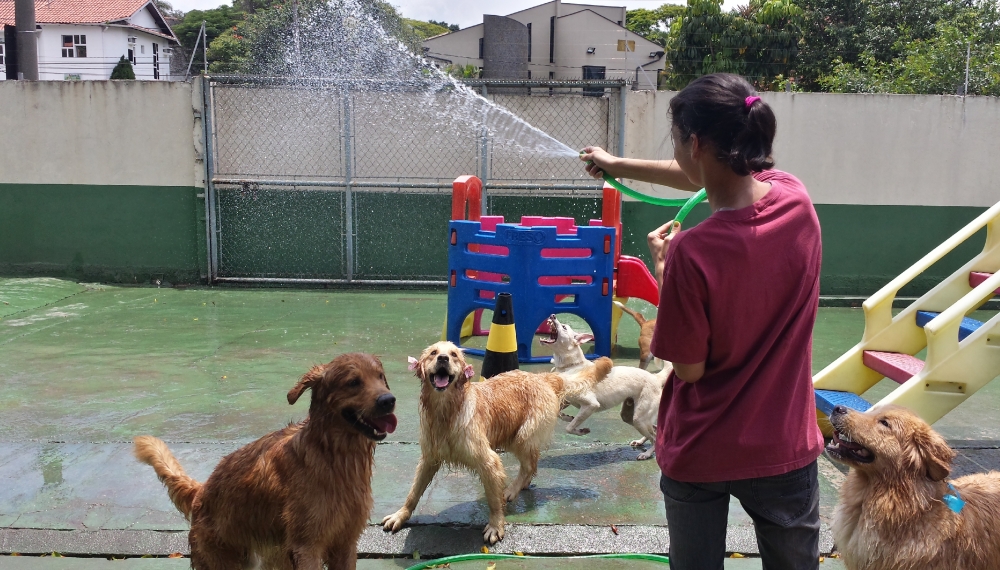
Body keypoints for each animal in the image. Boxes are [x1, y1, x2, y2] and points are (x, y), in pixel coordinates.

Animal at [134, 350, 398, 568]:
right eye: (353, 382)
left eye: (380, 377)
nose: (389, 400)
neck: (333, 454)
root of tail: (201, 491)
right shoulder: (307, 546)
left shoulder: (345, 543)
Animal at [382, 340, 568, 544]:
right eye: (433, 353)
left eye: (454, 355)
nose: (443, 358)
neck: (446, 411)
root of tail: (543, 378)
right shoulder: (429, 458)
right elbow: (413, 492)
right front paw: (400, 515)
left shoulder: (488, 461)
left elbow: (494, 500)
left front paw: (495, 526)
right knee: (532, 464)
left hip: (521, 436)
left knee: (529, 465)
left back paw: (511, 490)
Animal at [540, 312, 672, 460]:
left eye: (564, 327)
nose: (553, 315)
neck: (571, 366)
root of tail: (656, 377)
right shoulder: (566, 400)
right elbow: (559, 413)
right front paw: (568, 417)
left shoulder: (591, 405)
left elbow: (569, 428)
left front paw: (581, 430)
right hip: (630, 416)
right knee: (653, 429)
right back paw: (640, 442)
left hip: (639, 418)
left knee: (654, 437)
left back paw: (647, 453)